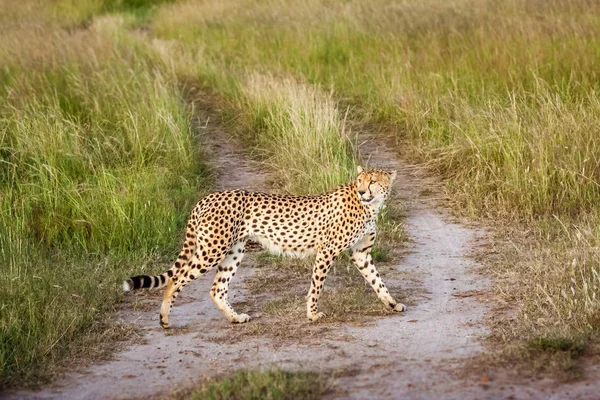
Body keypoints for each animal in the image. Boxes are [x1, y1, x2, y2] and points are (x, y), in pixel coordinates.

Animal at [123, 167, 406, 326]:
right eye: (359, 180)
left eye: (372, 181)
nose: (362, 191)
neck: (370, 206)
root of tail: (207, 197)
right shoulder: (327, 250)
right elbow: (316, 286)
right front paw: (312, 315)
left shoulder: (361, 253)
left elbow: (377, 281)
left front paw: (392, 304)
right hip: (211, 249)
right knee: (176, 279)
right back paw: (164, 320)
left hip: (234, 251)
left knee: (217, 289)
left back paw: (235, 318)